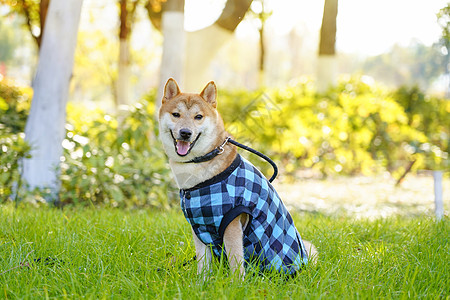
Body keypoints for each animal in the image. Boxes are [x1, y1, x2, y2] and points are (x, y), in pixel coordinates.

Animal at [158, 77, 316, 278]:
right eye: (176, 114)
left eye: (198, 117)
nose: (185, 132)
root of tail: (303, 262)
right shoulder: (199, 223)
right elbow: (203, 263)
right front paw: (201, 282)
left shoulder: (232, 221)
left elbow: (236, 262)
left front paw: (235, 284)